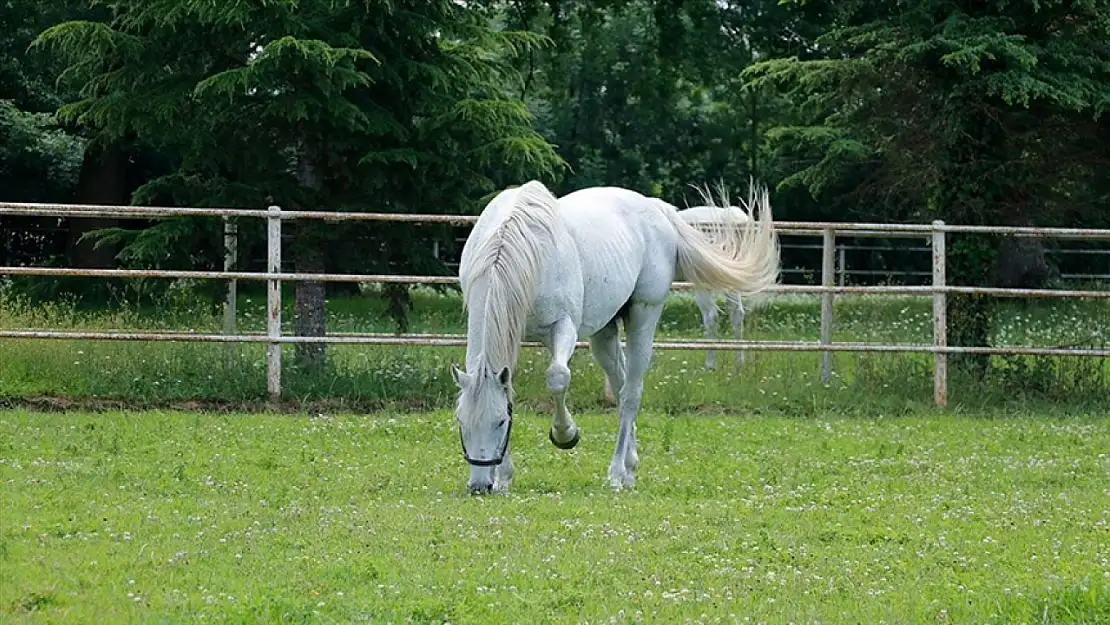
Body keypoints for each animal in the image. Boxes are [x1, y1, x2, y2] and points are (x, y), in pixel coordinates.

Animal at [450, 179, 781, 495]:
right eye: (461, 421)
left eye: (500, 422)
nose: (479, 486)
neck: (518, 246)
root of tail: (657, 208)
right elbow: (509, 391)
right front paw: (504, 478)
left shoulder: (564, 328)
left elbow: (558, 378)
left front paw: (566, 434)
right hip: (605, 332)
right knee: (620, 386)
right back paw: (631, 466)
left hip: (645, 315)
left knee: (631, 394)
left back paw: (617, 474)